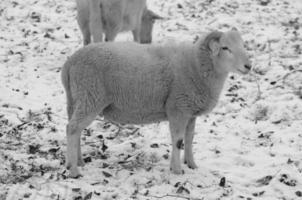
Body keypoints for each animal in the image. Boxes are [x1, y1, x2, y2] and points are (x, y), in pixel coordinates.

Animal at [61, 28, 252, 177]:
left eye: (242, 45)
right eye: (225, 48)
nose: (248, 66)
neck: (196, 64)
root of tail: (70, 62)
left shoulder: (190, 113)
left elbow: (189, 139)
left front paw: (191, 164)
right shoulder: (178, 108)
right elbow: (178, 141)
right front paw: (177, 170)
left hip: (77, 99)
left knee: (75, 129)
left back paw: (78, 161)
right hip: (90, 96)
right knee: (72, 129)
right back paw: (74, 170)